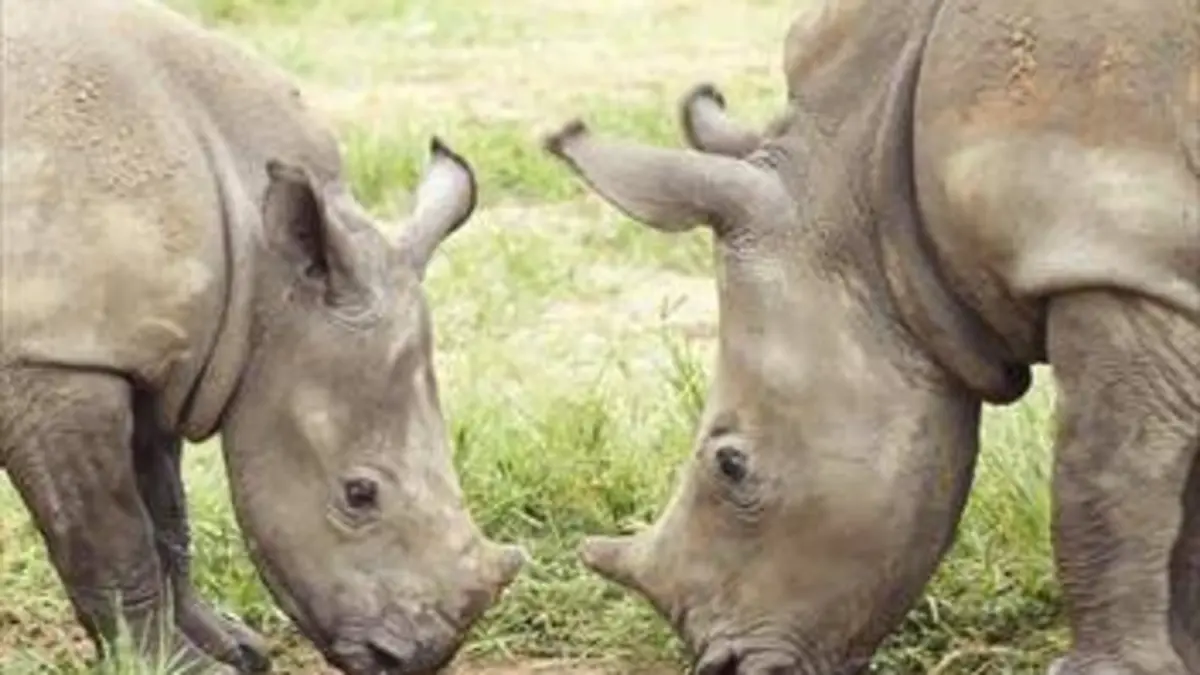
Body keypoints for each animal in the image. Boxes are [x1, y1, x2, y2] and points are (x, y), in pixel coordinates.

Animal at [0, 0, 527, 673]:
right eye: (359, 495)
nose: (416, 658)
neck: (263, 273)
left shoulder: (155, 353)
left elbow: (164, 513)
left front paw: (233, 647)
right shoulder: (55, 357)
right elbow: (111, 537)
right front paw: (180, 667)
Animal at [544, 0, 1200, 672]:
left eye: (731, 465)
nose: (724, 665)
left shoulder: (1111, 251)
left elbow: (1102, 476)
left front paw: (1110, 668)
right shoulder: (1149, 262)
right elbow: (1178, 502)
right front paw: (1184, 654)